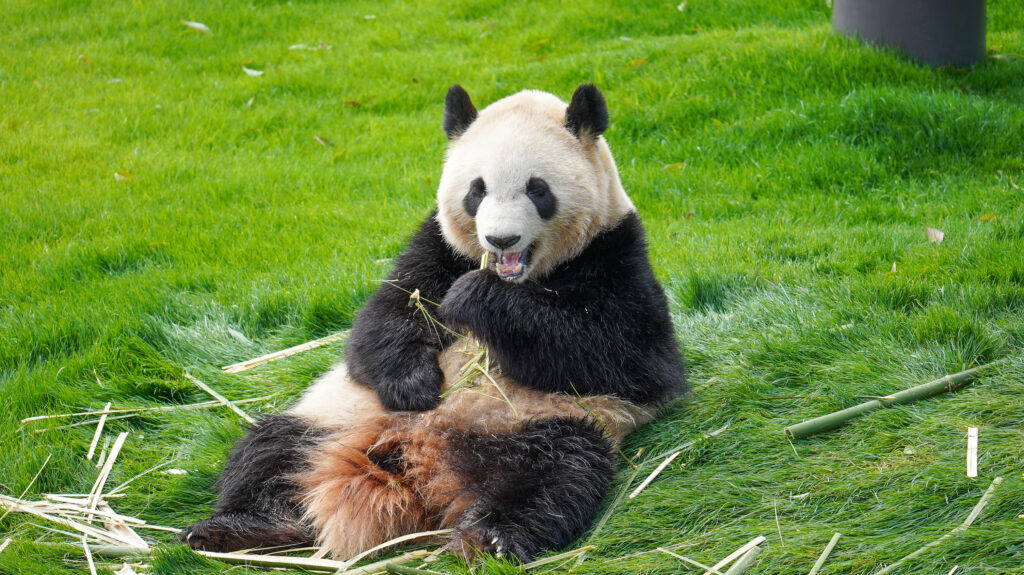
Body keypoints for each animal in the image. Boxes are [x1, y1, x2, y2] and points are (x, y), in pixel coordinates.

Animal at [182, 83, 688, 560]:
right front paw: (415, 385)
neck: (525, 275)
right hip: (333, 412)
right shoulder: (436, 248)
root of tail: (421, 463)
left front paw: (475, 299)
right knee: (269, 451)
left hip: (546, 422)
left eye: (537, 189)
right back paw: (239, 527)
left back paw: (488, 538)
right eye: (477, 189)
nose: (500, 239)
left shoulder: (616, 254)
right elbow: (378, 325)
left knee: (553, 476)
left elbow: (628, 358)